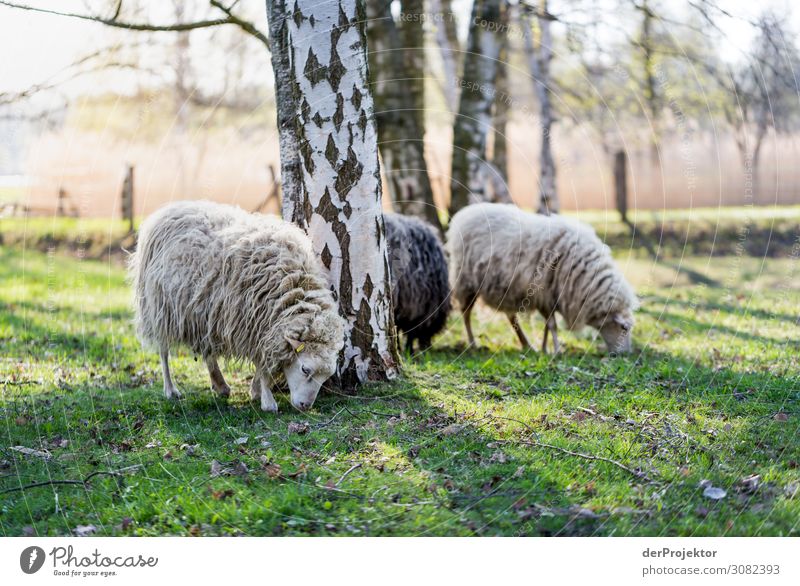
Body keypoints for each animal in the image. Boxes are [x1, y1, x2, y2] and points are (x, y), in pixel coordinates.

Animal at [130, 201, 346, 410]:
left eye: (326, 376)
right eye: (305, 369)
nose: (305, 406)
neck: (292, 283)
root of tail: (166, 210)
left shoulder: (261, 325)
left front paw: (256, 390)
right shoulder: (253, 323)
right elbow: (263, 363)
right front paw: (267, 400)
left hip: (205, 312)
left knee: (207, 348)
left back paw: (220, 384)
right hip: (160, 307)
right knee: (163, 351)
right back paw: (171, 389)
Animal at [444, 202, 636, 352]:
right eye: (624, 328)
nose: (626, 354)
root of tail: (464, 213)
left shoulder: (548, 296)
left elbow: (547, 326)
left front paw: (545, 349)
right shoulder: (544, 293)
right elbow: (552, 325)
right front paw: (557, 350)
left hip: (503, 287)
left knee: (511, 317)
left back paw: (527, 345)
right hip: (466, 281)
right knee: (466, 314)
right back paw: (472, 343)